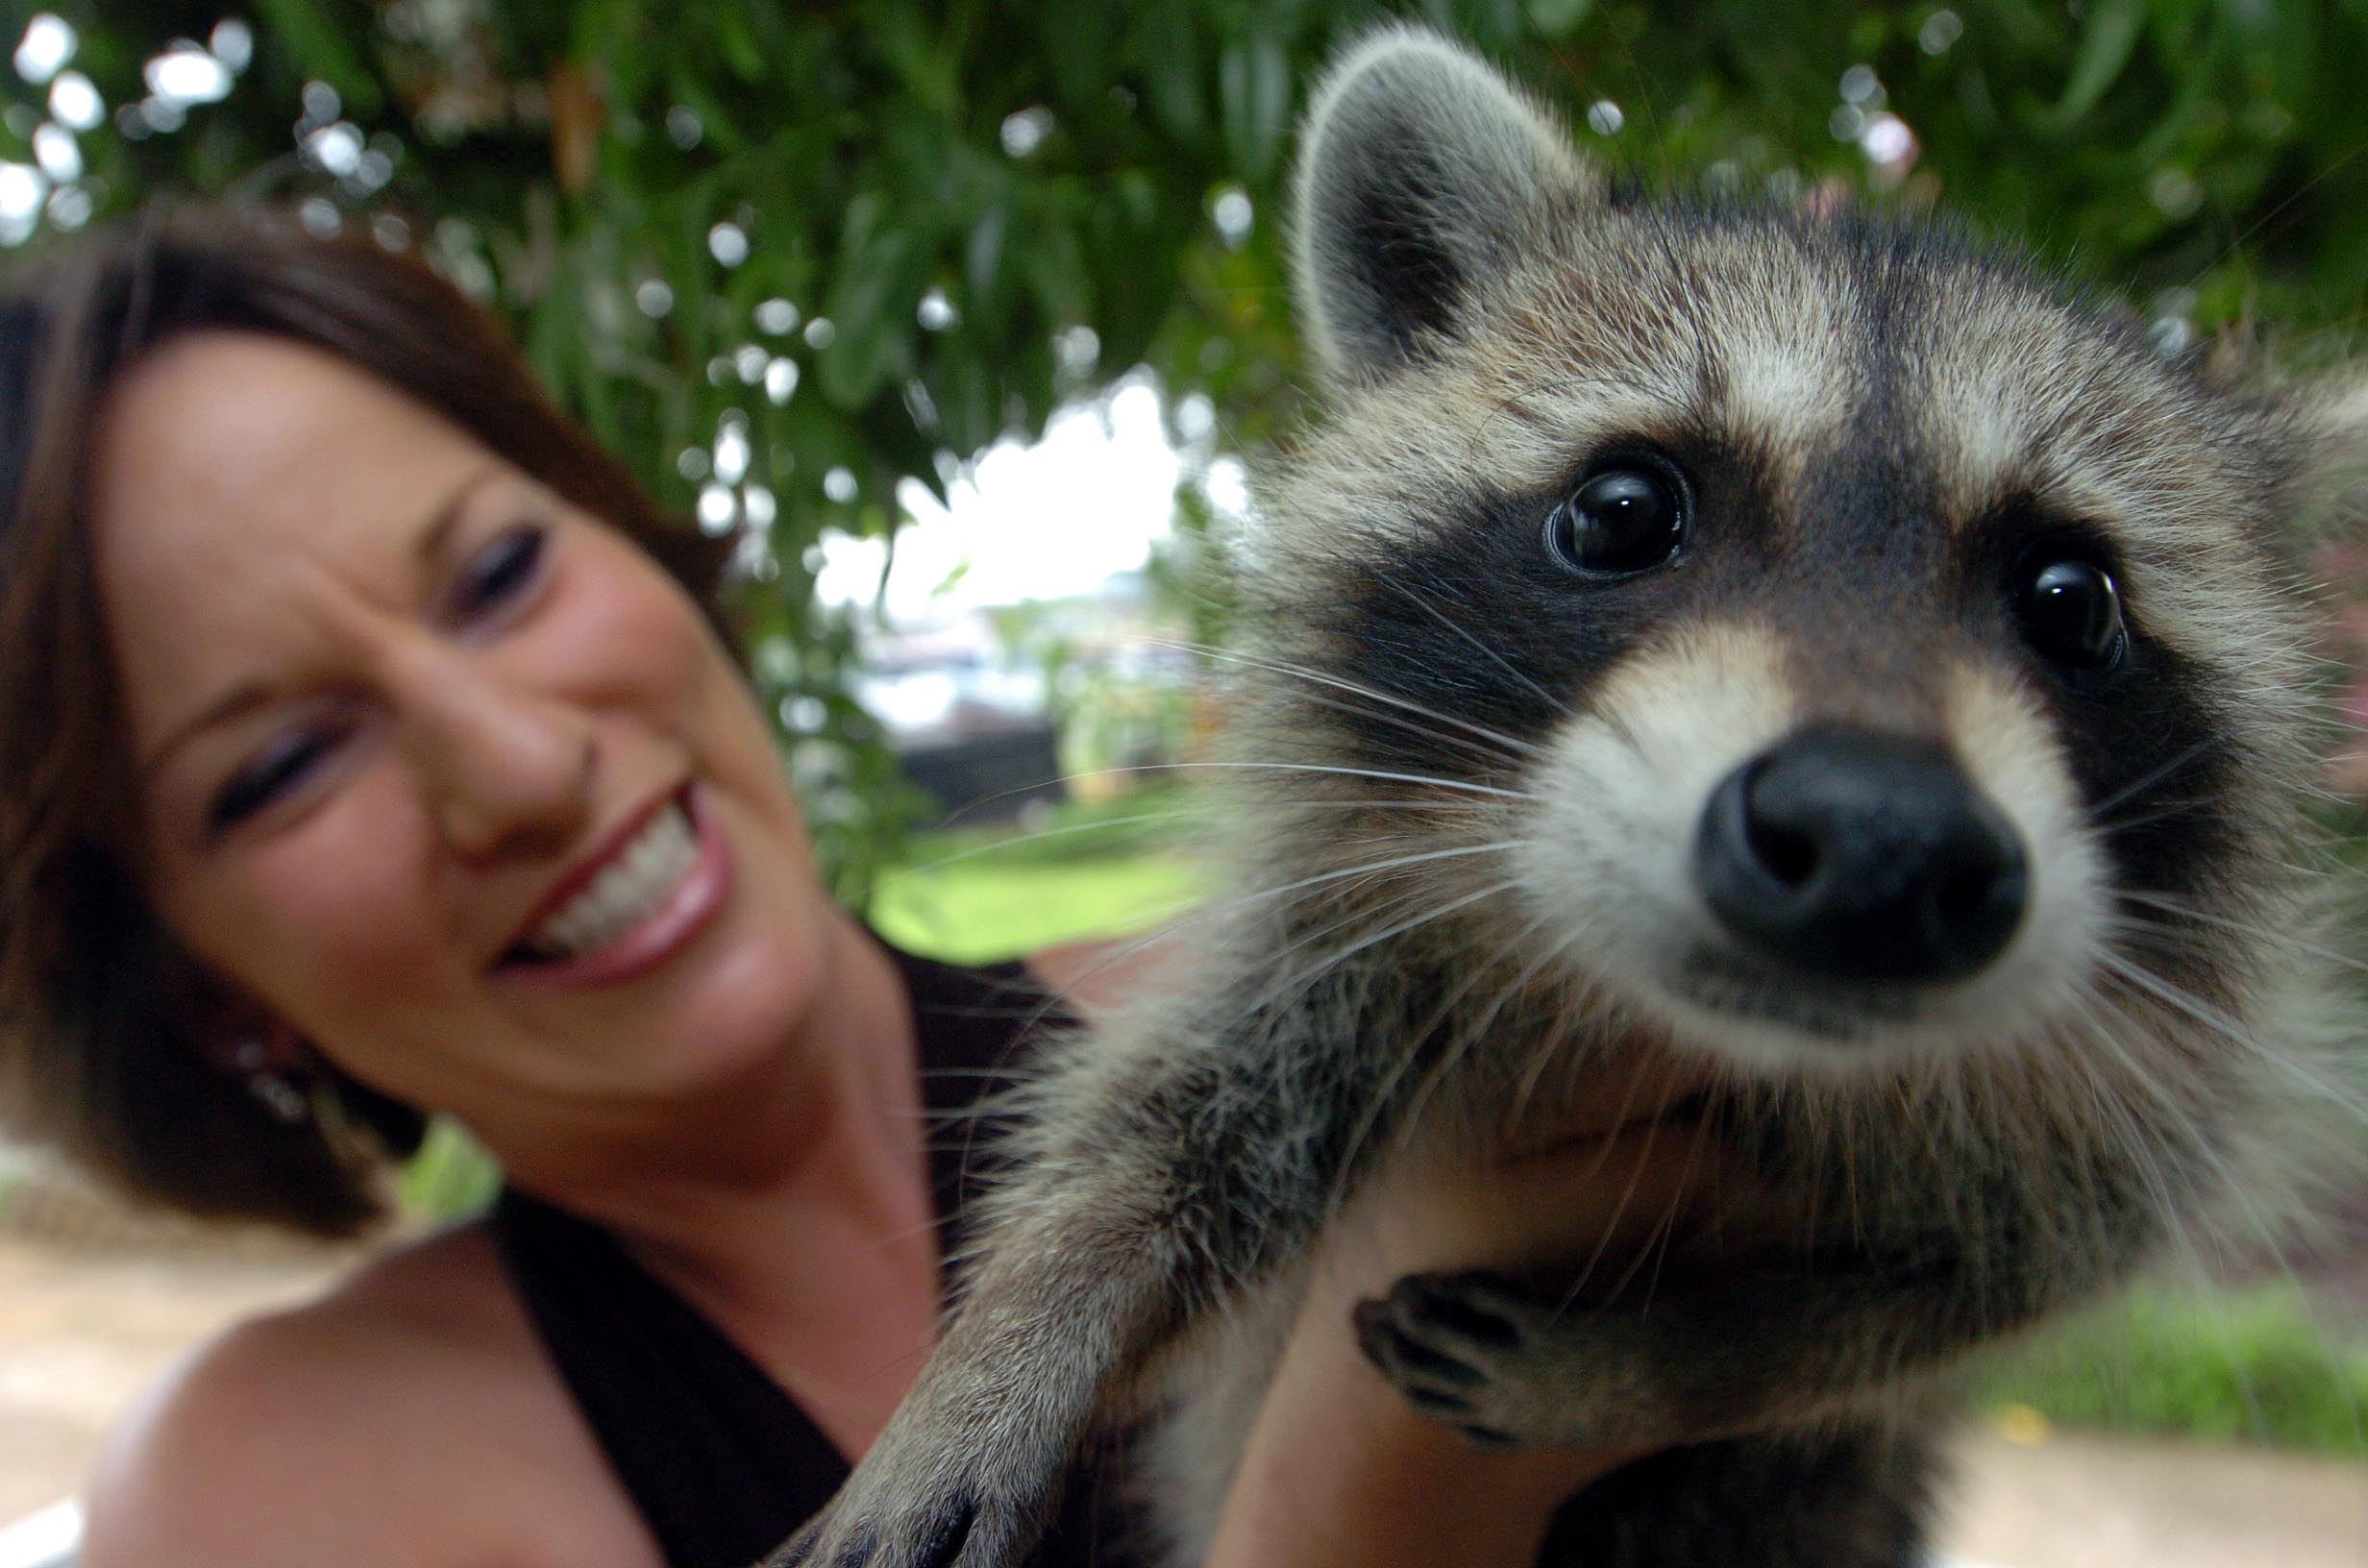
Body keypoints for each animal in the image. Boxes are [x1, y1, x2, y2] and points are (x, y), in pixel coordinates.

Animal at [778, 27, 2364, 1568]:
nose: (1878, 843)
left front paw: (1677, 1361)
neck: (1707, 1049)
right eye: (1623, 511)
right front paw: (1022, 1327)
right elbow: (1173, 1118)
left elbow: (1991, 1287)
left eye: (2071, 601)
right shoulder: (1342, 932)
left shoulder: (2129, 1101)